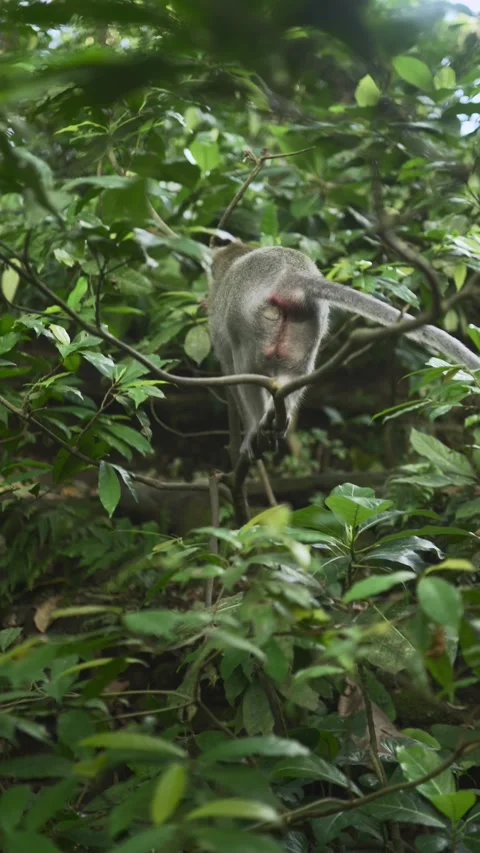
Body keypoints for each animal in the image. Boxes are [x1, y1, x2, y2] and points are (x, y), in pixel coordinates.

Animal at [208, 241, 480, 458]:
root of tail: (289, 276)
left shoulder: (220, 326)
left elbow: (231, 372)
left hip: (251, 321)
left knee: (247, 369)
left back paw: (255, 428)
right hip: (310, 319)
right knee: (293, 374)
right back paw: (277, 418)